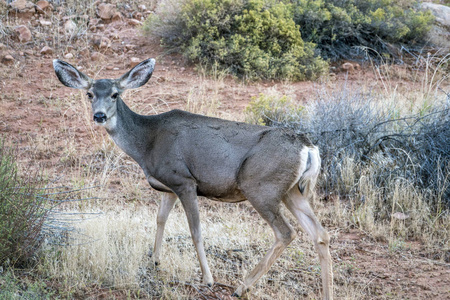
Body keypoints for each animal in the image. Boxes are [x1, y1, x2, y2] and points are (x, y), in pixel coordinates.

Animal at [53, 58, 334, 298]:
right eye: (89, 94)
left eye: (115, 94)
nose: (99, 115)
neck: (147, 143)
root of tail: (308, 147)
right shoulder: (168, 187)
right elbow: (160, 219)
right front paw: (155, 260)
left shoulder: (184, 181)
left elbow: (195, 231)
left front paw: (208, 279)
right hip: (291, 191)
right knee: (320, 234)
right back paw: (327, 293)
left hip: (260, 187)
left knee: (286, 233)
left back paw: (241, 287)